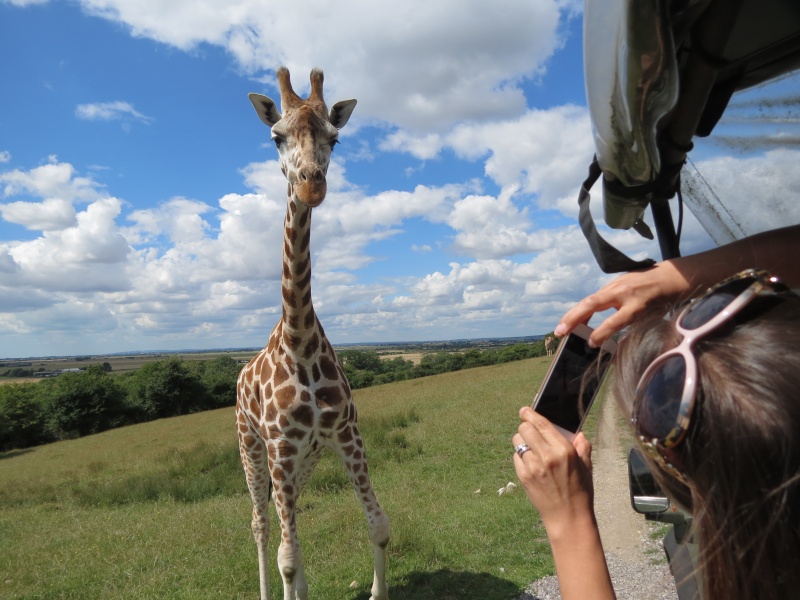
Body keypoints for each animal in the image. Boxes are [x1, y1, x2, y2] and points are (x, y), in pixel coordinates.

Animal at [234, 67, 390, 600]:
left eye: (334, 138)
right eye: (276, 136)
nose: (310, 187)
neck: (299, 341)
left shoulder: (345, 435)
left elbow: (378, 525)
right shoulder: (280, 449)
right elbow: (286, 555)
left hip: (306, 459)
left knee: (292, 518)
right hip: (252, 447)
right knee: (262, 523)